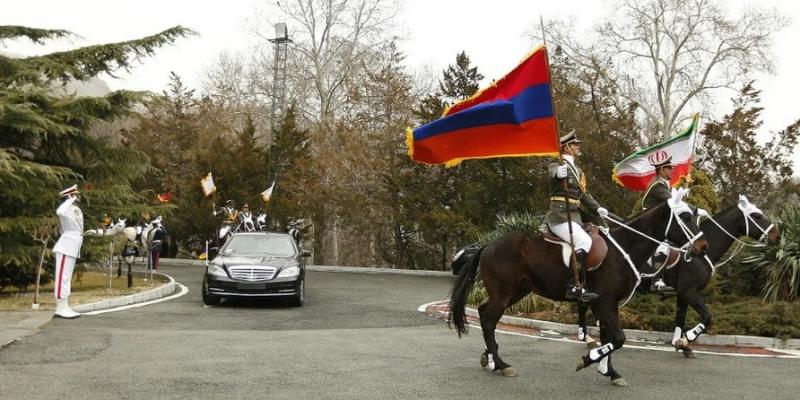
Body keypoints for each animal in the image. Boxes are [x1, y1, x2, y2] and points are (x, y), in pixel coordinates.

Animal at [450, 192, 708, 386]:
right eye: (685, 216)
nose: (703, 247)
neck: (623, 248)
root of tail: (489, 245)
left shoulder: (606, 304)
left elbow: (609, 338)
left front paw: (609, 372)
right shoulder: (605, 302)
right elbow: (618, 339)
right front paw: (589, 359)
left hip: (516, 292)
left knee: (485, 314)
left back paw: (491, 359)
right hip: (503, 293)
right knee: (488, 319)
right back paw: (501, 364)